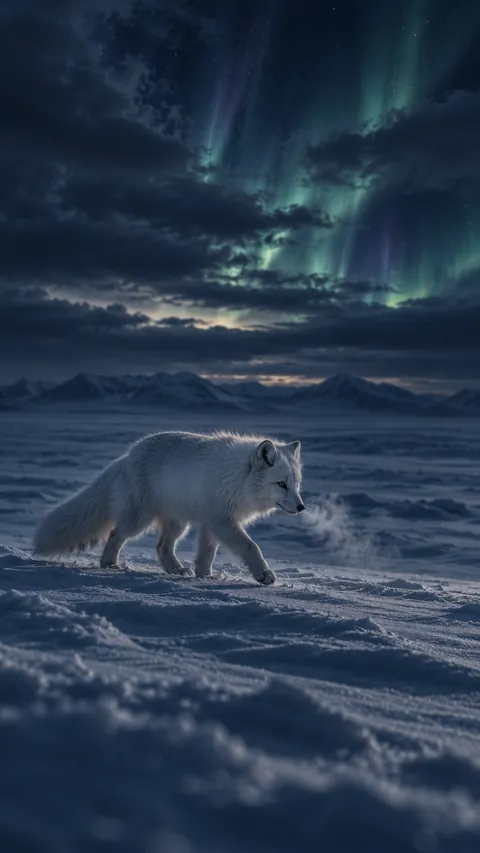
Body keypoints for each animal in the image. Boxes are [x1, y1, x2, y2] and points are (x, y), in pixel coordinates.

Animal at [33, 431, 305, 585]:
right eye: (281, 484)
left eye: (296, 484)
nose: (302, 507)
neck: (239, 478)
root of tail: (127, 456)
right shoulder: (222, 521)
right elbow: (251, 546)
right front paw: (264, 575)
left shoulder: (211, 523)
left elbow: (207, 553)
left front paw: (205, 576)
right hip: (139, 520)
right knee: (115, 534)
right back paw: (109, 564)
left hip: (178, 523)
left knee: (162, 546)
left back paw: (176, 570)